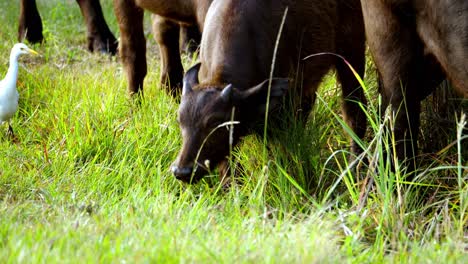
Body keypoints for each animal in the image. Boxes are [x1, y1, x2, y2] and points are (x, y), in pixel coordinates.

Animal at [172, 0, 370, 184]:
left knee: (354, 111)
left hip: (352, 50)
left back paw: (357, 167)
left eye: (216, 123)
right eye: (181, 121)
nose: (182, 171)